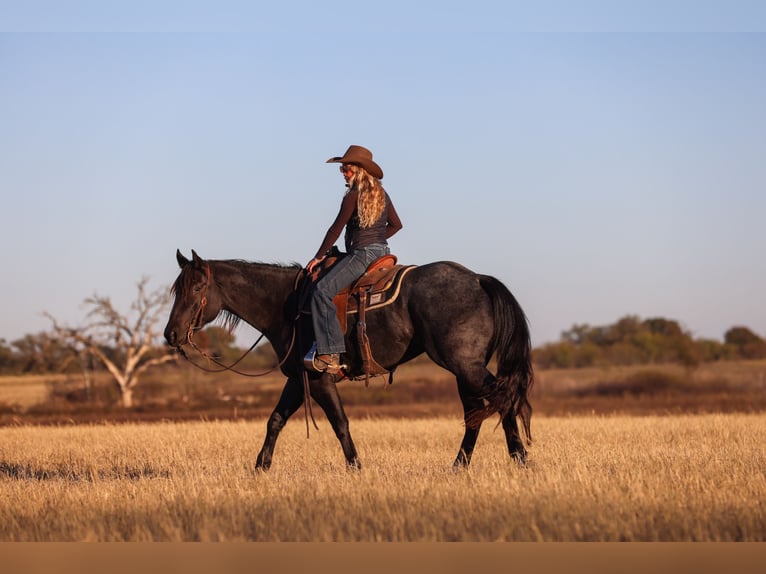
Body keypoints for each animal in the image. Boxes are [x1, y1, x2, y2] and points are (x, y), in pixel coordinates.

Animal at [164, 249, 534, 471]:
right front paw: (260, 467)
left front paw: (355, 467)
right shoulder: (298, 378)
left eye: (196, 289)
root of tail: (478, 279)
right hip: (463, 370)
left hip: (465, 366)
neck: (288, 305)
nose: (171, 334)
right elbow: (275, 420)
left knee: (502, 397)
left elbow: (340, 423)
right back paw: (462, 465)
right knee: (477, 411)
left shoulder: (319, 378)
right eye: (176, 290)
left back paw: (520, 459)